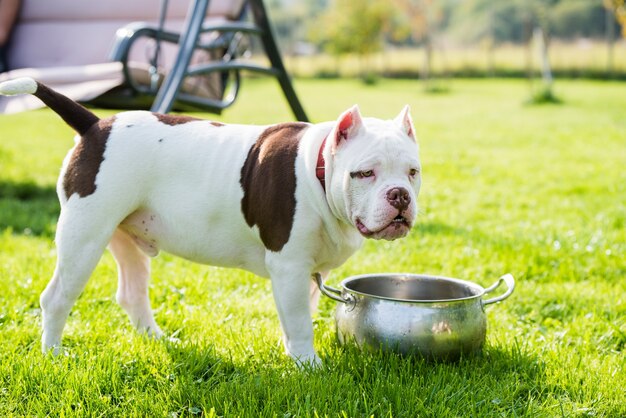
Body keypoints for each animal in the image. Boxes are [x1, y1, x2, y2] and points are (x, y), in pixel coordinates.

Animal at [1, 78, 420, 366]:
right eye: (364, 173)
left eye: (413, 172)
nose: (399, 195)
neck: (318, 169)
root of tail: (95, 125)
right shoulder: (289, 267)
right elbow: (300, 321)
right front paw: (309, 366)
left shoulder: (308, 274)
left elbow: (299, 315)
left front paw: (295, 358)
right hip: (84, 237)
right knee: (57, 298)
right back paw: (54, 355)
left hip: (124, 237)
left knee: (132, 293)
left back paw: (158, 340)